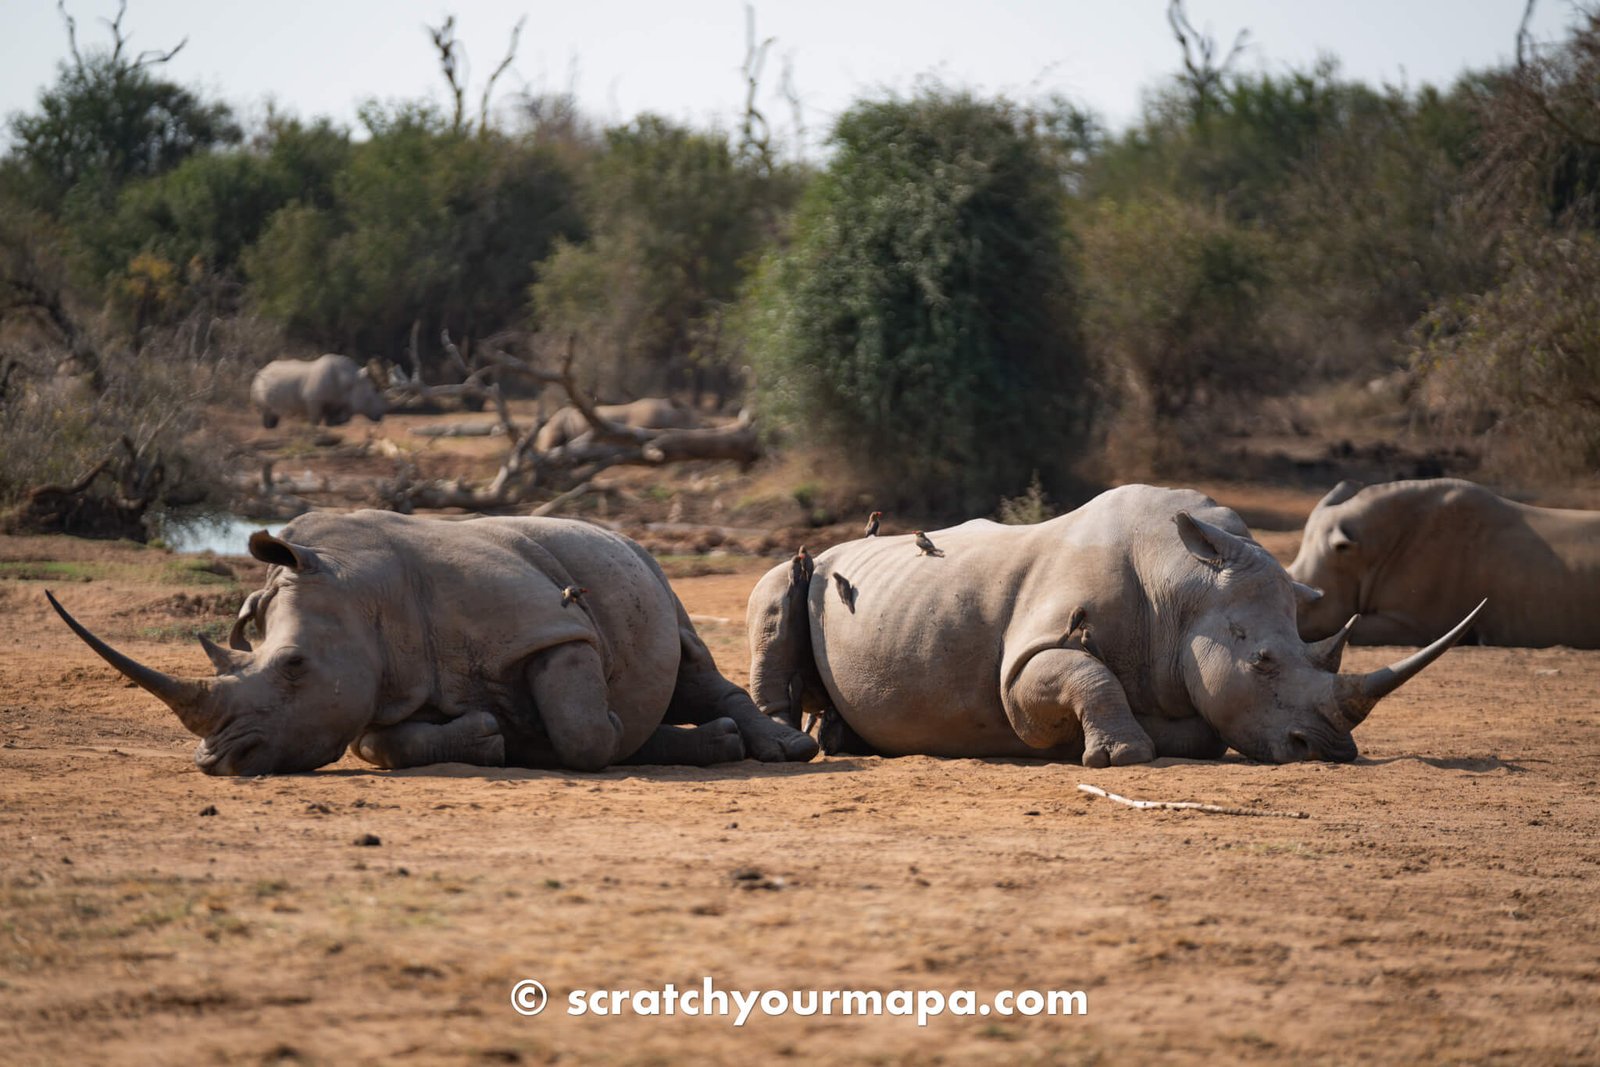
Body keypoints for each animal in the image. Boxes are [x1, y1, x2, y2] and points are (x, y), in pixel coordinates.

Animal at [50, 511, 825, 777]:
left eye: (295, 666)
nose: (216, 762)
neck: (364, 595)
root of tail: (620, 531)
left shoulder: (550, 626)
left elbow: (583, 730)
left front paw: (544, 737)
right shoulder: (385, 687)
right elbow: (378, 744)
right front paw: (493, 738)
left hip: (648, 571)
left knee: (688, 664)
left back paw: (776, 749)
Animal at [249, 355, 387, 428]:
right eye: (372, 394)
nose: (380, 416)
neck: (351, 380)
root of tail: (259, 371)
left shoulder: (338, 401)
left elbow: (337, 418)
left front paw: (334, 423)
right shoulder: (313, 400)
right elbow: (315, 419)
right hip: (259, 383)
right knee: (266, 410)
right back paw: (268, 427)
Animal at [742, 483, 1478, 767]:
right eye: (1264, 662)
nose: (1328, 750)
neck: (1184, 584)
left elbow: (1192, 724)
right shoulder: (1025, 664)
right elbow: (1081, 675)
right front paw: (1119, 755)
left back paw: (842, 737)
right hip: (806, 568)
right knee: (778, 590)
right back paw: (795, 743)